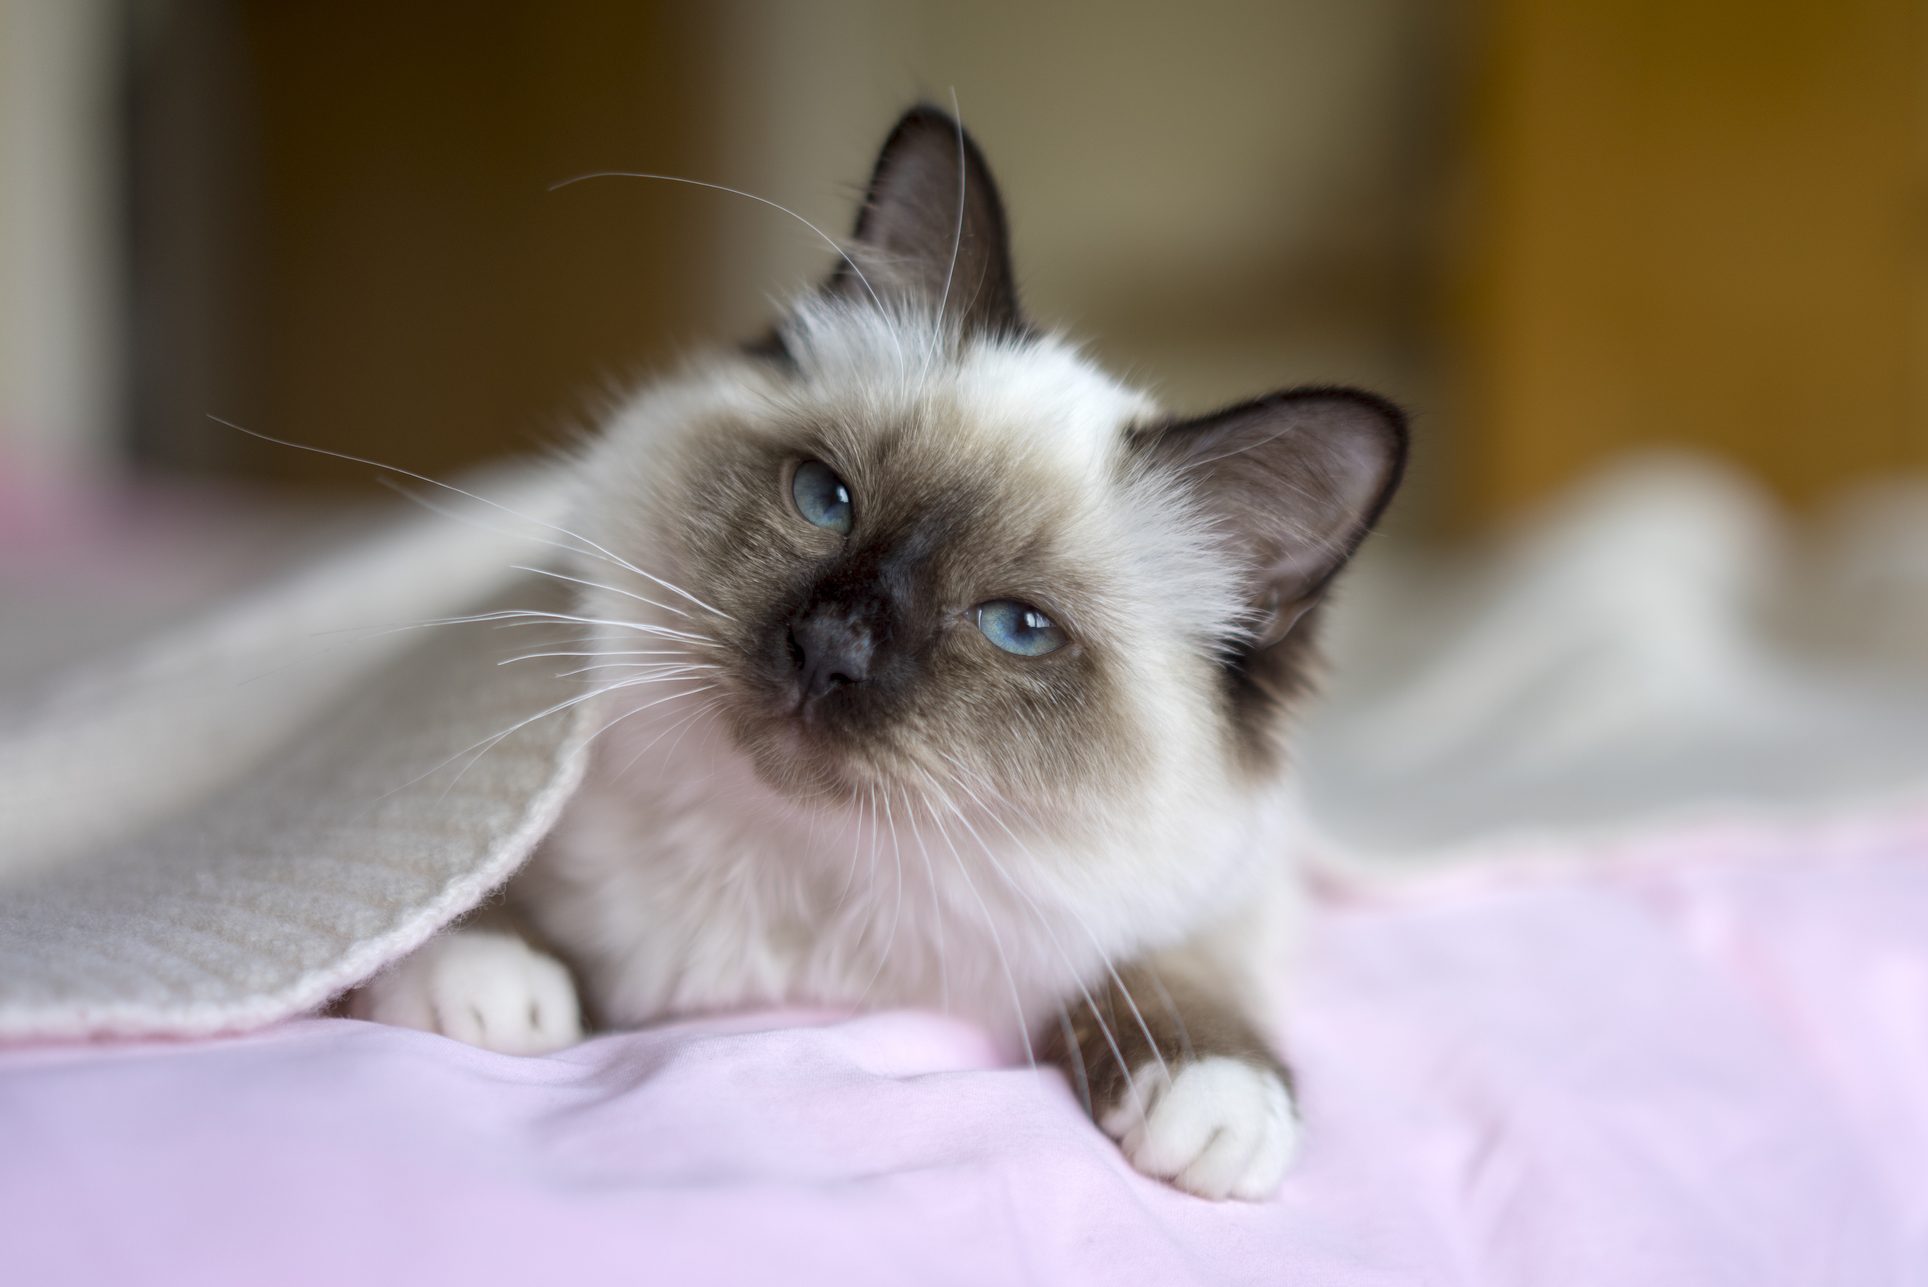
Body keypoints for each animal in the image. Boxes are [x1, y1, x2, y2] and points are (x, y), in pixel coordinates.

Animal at [350, 105, 1403, 1202]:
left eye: (1017, 628)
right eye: (825, 499)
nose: (829, 650)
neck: (799, 874)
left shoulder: (1220, 896)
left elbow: (1179, 970)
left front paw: (1214, 1104)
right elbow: (465, 886)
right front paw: (483, 979)